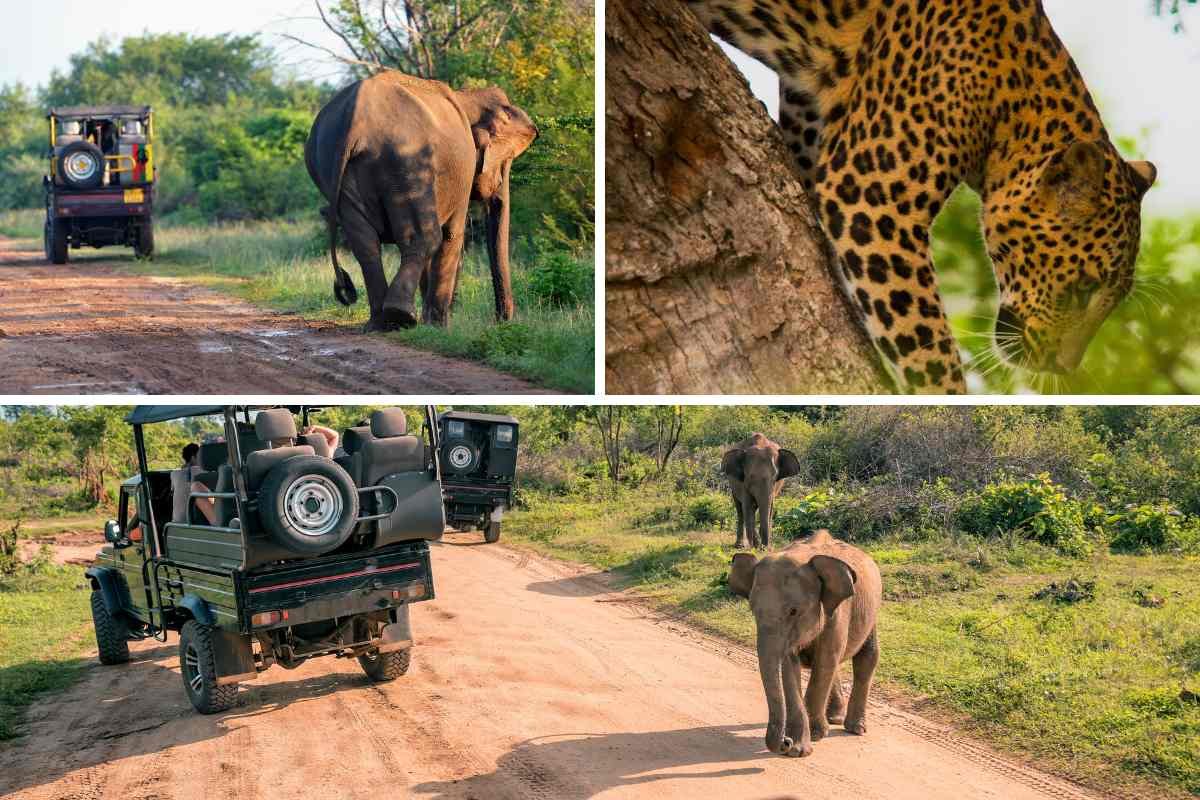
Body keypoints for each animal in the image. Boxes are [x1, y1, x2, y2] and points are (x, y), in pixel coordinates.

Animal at [304, 69, 540, 331]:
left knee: (365, 244)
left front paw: (432, 324)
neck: (467, 96)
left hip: (332, 166)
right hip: (406, 161)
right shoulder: (463, 171)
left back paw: (380, 324)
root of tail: (353, 121)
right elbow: (453, 235)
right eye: (505, 161)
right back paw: (400, 316)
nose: (500, 321)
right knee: (426, 237)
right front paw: (438, 327)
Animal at [720, 527, 883, 762]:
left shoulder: (838, 613)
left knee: (866, 657)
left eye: (793, 611)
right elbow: (790, 666)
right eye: (753, 610)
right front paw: (798, 749)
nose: (784, 742)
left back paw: (854, 728)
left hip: (872, 611)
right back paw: (834, 718)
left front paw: (815, 735)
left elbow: (825, 660)